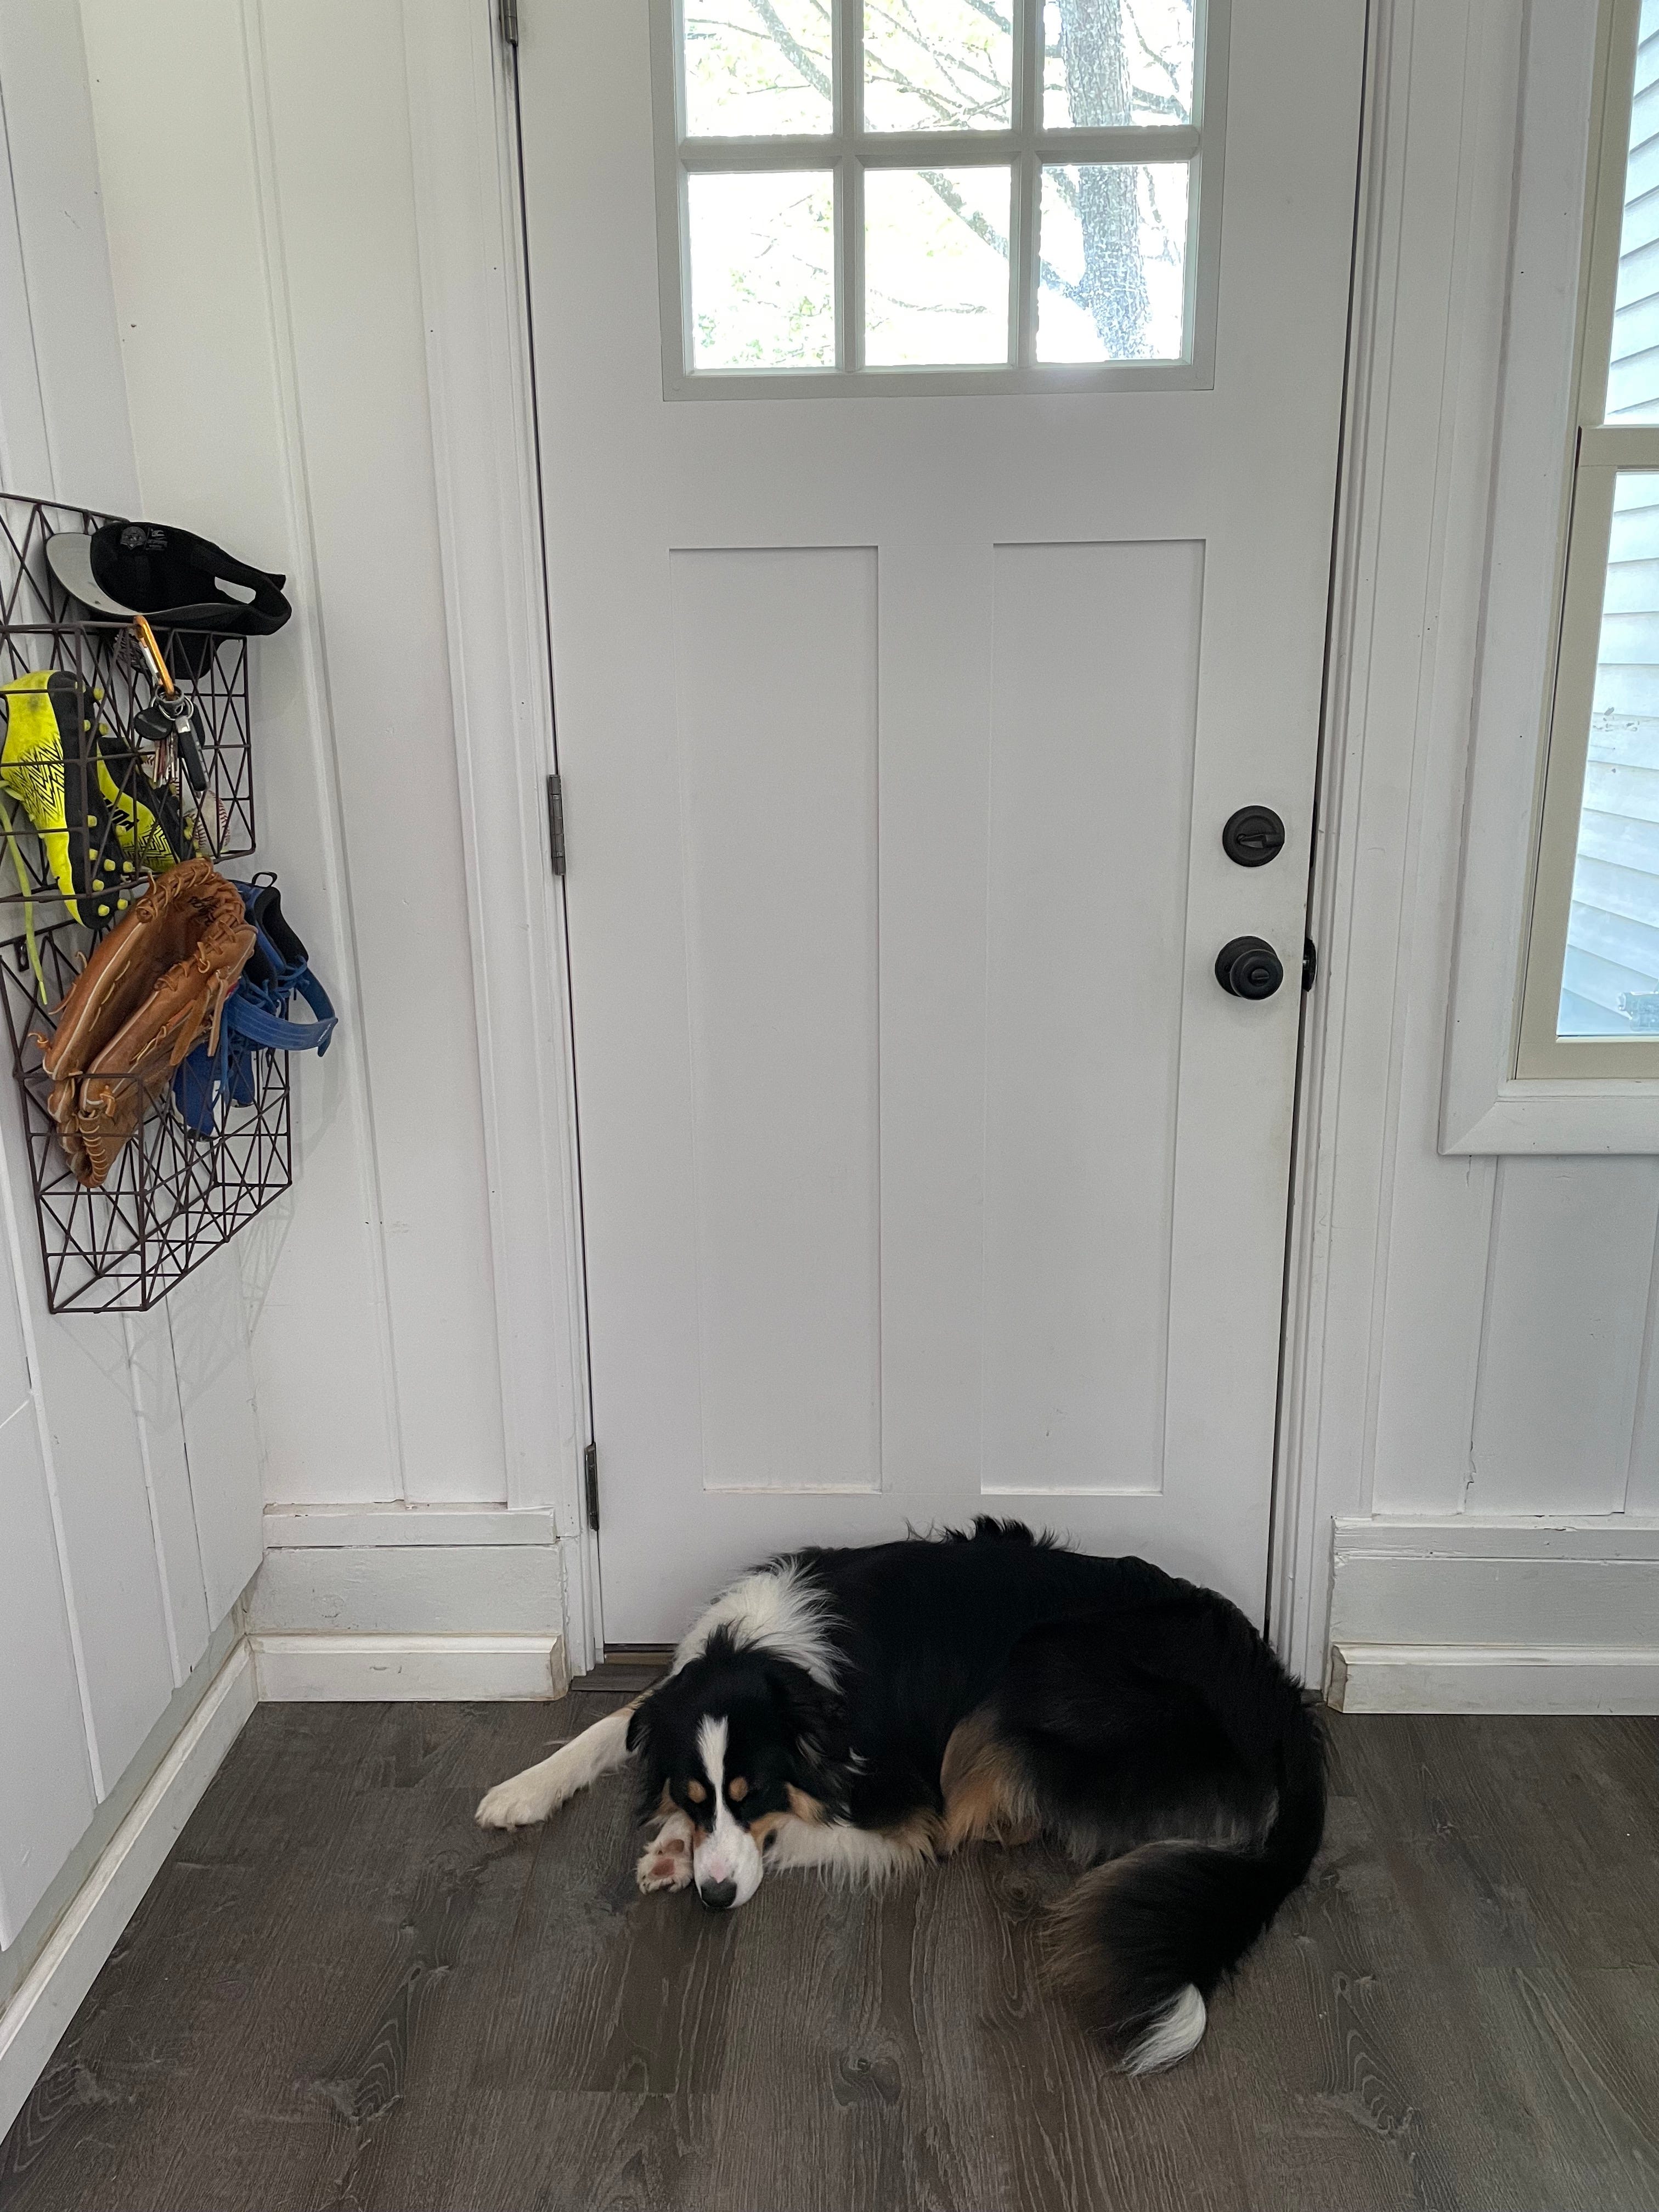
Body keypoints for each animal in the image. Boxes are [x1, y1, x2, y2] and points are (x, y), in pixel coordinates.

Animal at [475, 1519, 1323, 2073]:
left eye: (756, 1794)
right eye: (696, 1790)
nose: (714, 1900)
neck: (777, 1658)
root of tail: (1283, 1700)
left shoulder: (897, 1798)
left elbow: (816, 1830)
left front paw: (679, 1851)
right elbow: (612, 1725)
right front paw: (526, 1791)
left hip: (1039, 1669)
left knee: (976, 1819)